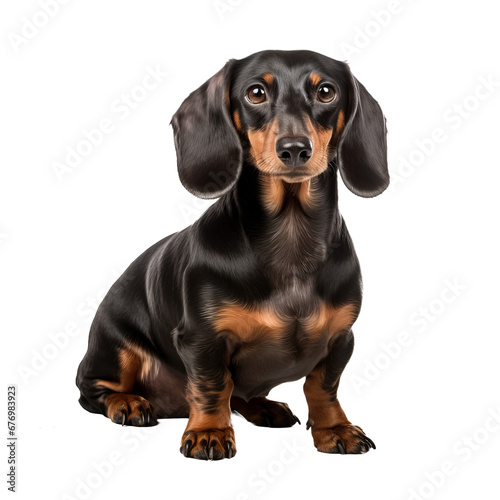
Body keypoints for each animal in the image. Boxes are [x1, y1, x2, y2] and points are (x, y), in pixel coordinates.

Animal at [76, 48, 388, 458]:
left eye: (326, 91)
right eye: (255, 92)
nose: (294, 149)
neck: (290, 234)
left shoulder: (340, 338)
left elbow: (323, 386)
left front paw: (335, 428)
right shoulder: (202, 339)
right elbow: (212, 385)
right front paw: (209, 432)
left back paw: (264, 407)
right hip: (114, 348)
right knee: (92, 390)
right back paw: (126, 402)